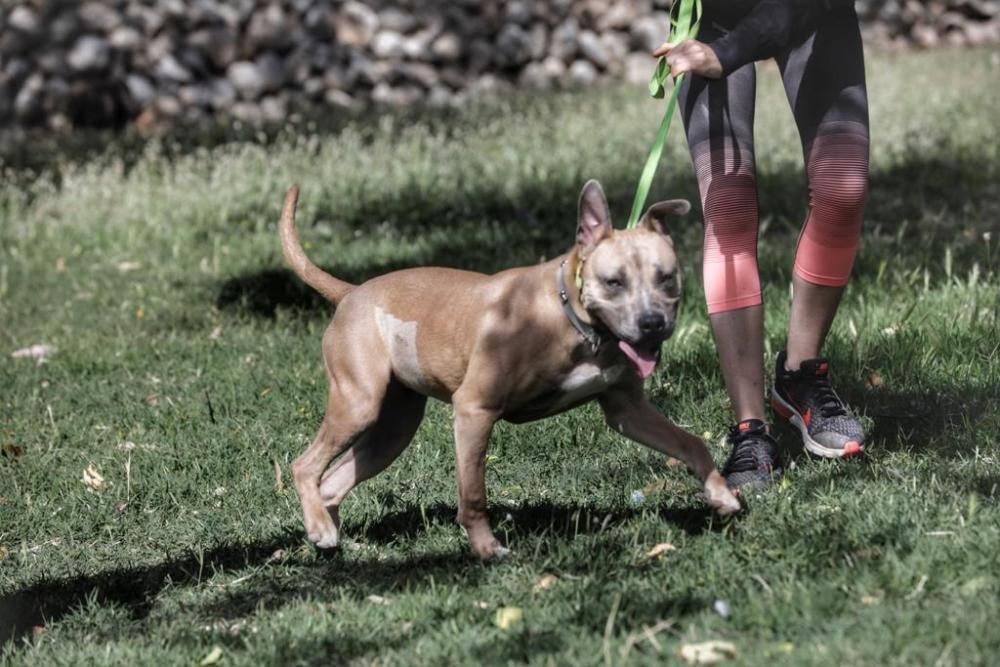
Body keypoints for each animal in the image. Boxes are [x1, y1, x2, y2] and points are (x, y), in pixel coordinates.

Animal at [278, 181, 740, 560]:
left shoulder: (628, 411)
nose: (652, 324)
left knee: (332, 480)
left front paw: (720, 494)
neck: (571, 318)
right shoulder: (474, 410)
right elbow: (473, 494)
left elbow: (691, 443)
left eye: (667, 278)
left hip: (393, 429)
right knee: (305, 466)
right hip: (359, 405)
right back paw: (321, 528)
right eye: (614, 282)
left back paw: (332, 538)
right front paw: (486, 549)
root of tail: (352, 292)